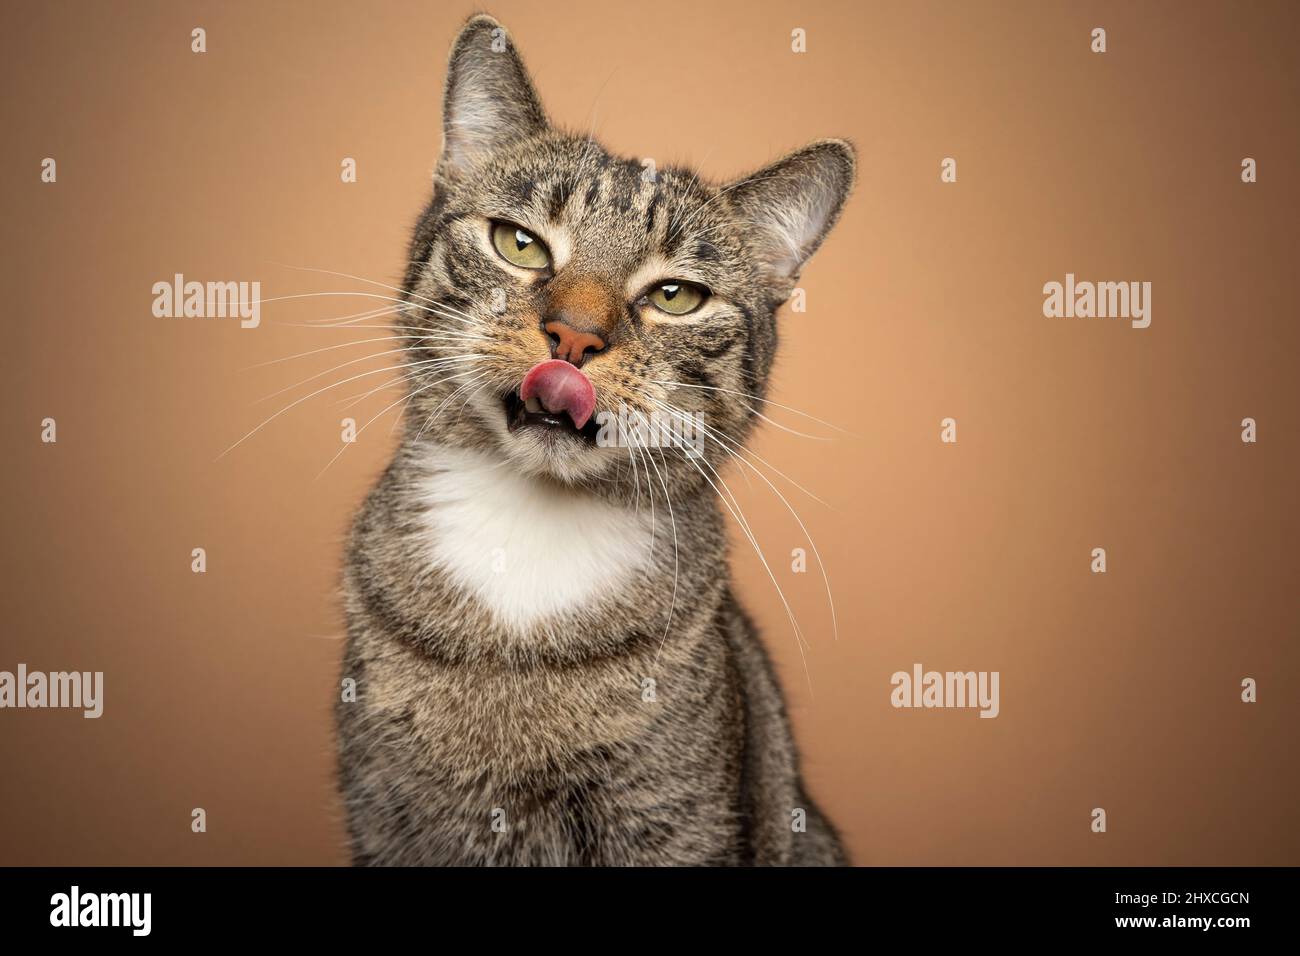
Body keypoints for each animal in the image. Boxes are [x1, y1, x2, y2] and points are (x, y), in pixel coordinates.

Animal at [340, 13, 857, 868]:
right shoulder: (390, 822)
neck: (528, 537)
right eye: (519, 244)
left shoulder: (674, 822)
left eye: (675, 296)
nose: (575, 336)